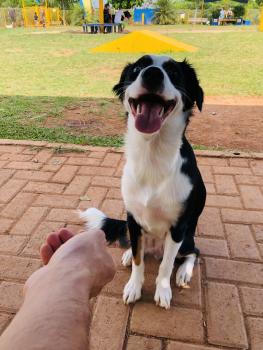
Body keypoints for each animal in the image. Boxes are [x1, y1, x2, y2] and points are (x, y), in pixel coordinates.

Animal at [81, 56, 207, 310]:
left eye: (174, 72)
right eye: (138, 68)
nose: (152, 74)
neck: (152, 154)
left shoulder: (178, 227)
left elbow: (166, 266)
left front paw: (163, 290)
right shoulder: (133, 219)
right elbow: (139, 261)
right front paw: (134, 286)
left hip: (186, 239)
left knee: (193, 253)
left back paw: (184, 272)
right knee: (137, 247)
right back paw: (129, 254)